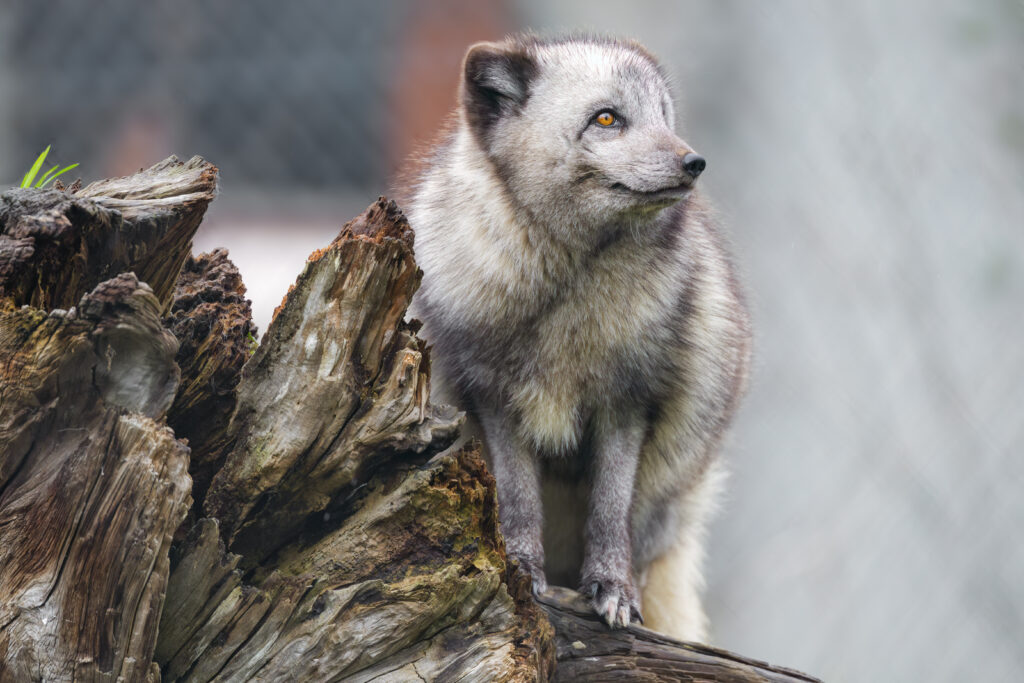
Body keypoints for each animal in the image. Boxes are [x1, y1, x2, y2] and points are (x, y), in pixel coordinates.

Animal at [404, 34, 751, 642]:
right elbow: (518, 499)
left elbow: (609, 509)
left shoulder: (628, 401)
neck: (569, 276)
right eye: (607, 118)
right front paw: (520, 569)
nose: (694, 162)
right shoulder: (493, 397)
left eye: (664, 117)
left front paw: (613, 591)